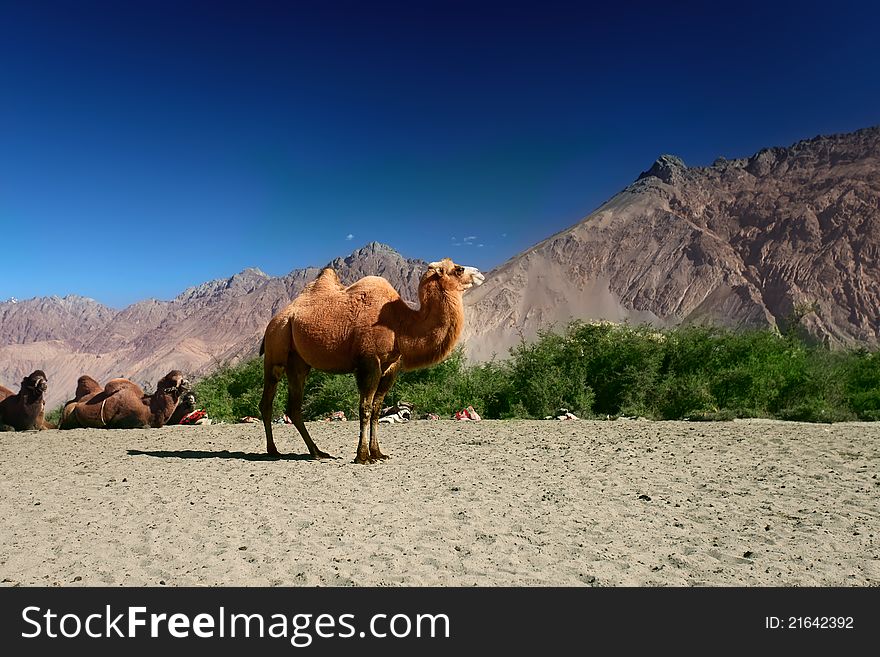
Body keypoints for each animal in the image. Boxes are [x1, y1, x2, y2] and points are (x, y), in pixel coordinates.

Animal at [258, 256, 484, 462]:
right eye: (458, 269)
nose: (480, 273)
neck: (399, 324)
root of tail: (277, 318)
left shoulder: (390, 367)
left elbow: (376, 409)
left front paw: (378, 453)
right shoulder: (369, 362)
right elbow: (365, 408)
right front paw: (362, 456)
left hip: (298, 363)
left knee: (294, 407)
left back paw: (317, 452)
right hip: (275, 346)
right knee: (267, 401)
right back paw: (273, 450)